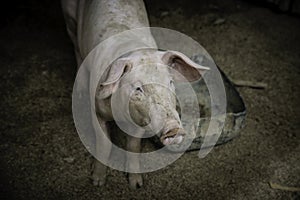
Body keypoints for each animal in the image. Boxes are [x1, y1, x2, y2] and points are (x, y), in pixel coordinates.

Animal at [61, 0, 209, 189]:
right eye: (138, 88)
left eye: (170, 82)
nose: (174, 128)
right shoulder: (97, 112)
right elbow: (104, 144)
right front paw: (97, 181)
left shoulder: (141, 120)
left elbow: (133, 147)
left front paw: (136, 185)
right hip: (69, 17)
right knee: (76, 47)